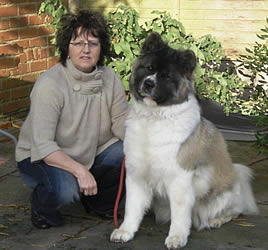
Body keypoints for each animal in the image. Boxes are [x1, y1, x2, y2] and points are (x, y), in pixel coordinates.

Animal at [110, 32, 258, 249]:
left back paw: (216, 220)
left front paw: (176, 237)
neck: (155, 118)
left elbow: (180, 214)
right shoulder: (136, 175)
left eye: (166, 76)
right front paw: (125, 231)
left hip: (220, 197)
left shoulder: (179, 179)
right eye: (149, 68)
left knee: (233, 210)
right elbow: (132, 208)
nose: (148, 84)